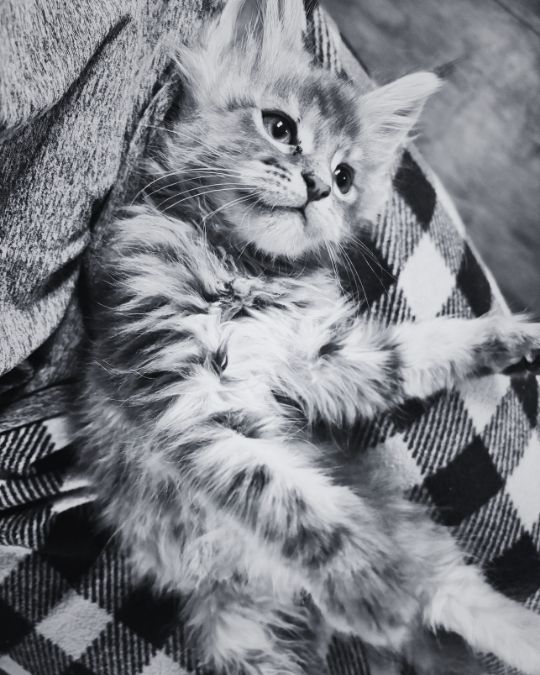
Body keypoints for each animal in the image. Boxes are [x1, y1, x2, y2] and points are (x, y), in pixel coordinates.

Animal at [78, 1, 540, 674]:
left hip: (415, 542)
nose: (319, 186)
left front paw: (508, 337)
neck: (246, 270)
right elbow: (286, 496)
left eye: (346, 177)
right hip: (242, 639)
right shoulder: (191, 403)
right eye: (279, 126)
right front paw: (371, 585)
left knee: (465, 601)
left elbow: (416, 350)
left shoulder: (323, 361)